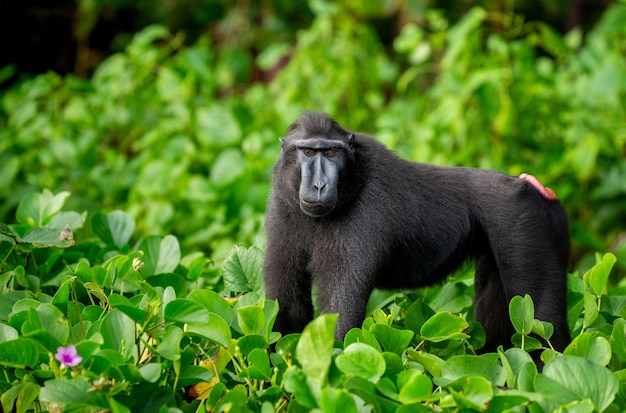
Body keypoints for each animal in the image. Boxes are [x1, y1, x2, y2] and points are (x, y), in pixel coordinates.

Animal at [260, 110, 568, 350]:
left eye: (331, 152)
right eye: (309, 152)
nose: (319, 186)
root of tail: (526, 183)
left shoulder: (365, 216)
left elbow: (340, 320)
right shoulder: (281, 206)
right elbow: (286, 309)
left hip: (523, 221)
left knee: (543, 330)